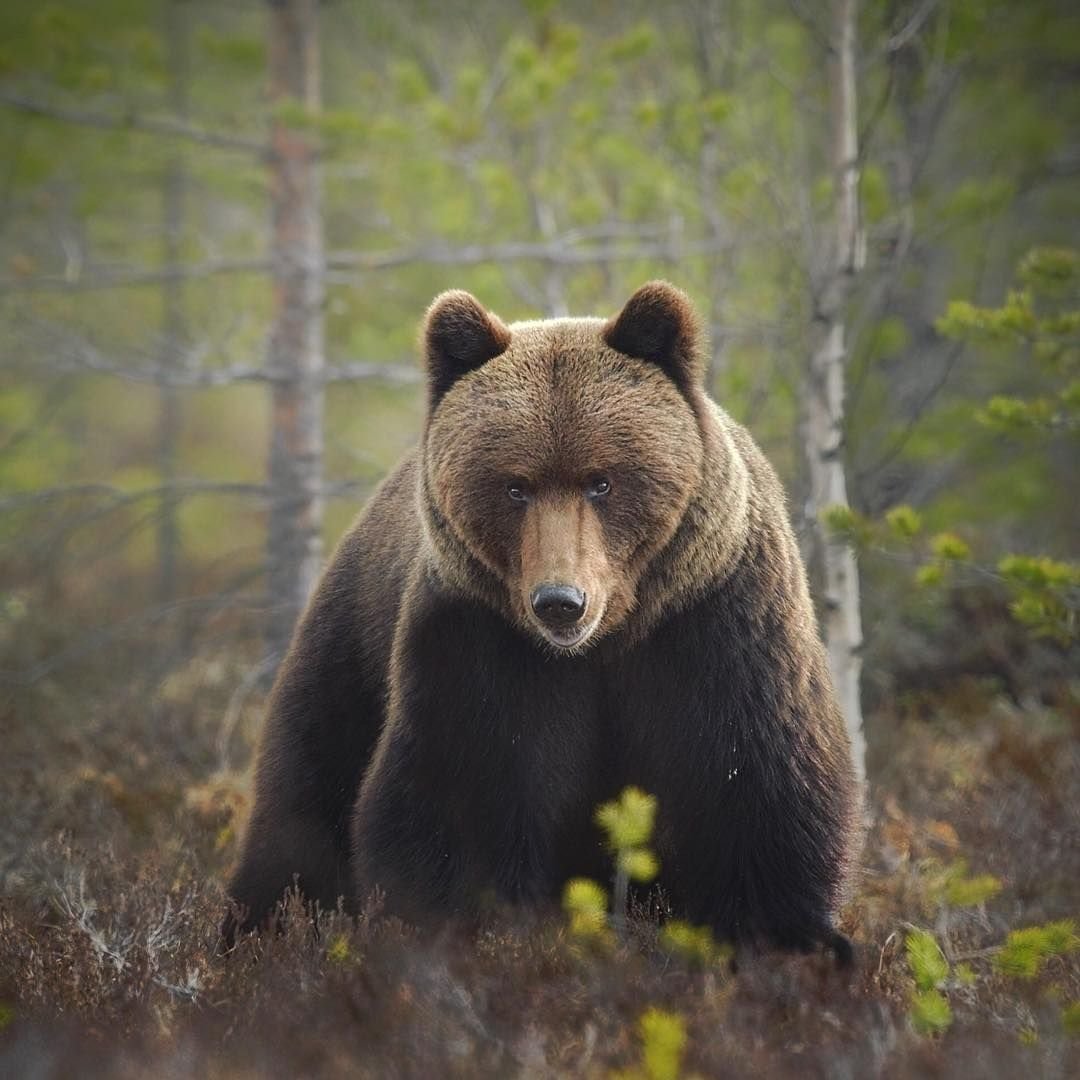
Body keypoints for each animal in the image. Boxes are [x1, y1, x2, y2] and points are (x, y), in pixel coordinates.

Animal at [223, 281, 860, 960]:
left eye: (602, 481)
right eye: (515, 486)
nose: (560, 601)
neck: (605, 643)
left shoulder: (716, 627)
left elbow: (755, 790)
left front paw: (793, 941)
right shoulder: (480, 644)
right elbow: (461, 804)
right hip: (350, 649)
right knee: (300, 808)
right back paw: (255, 930)